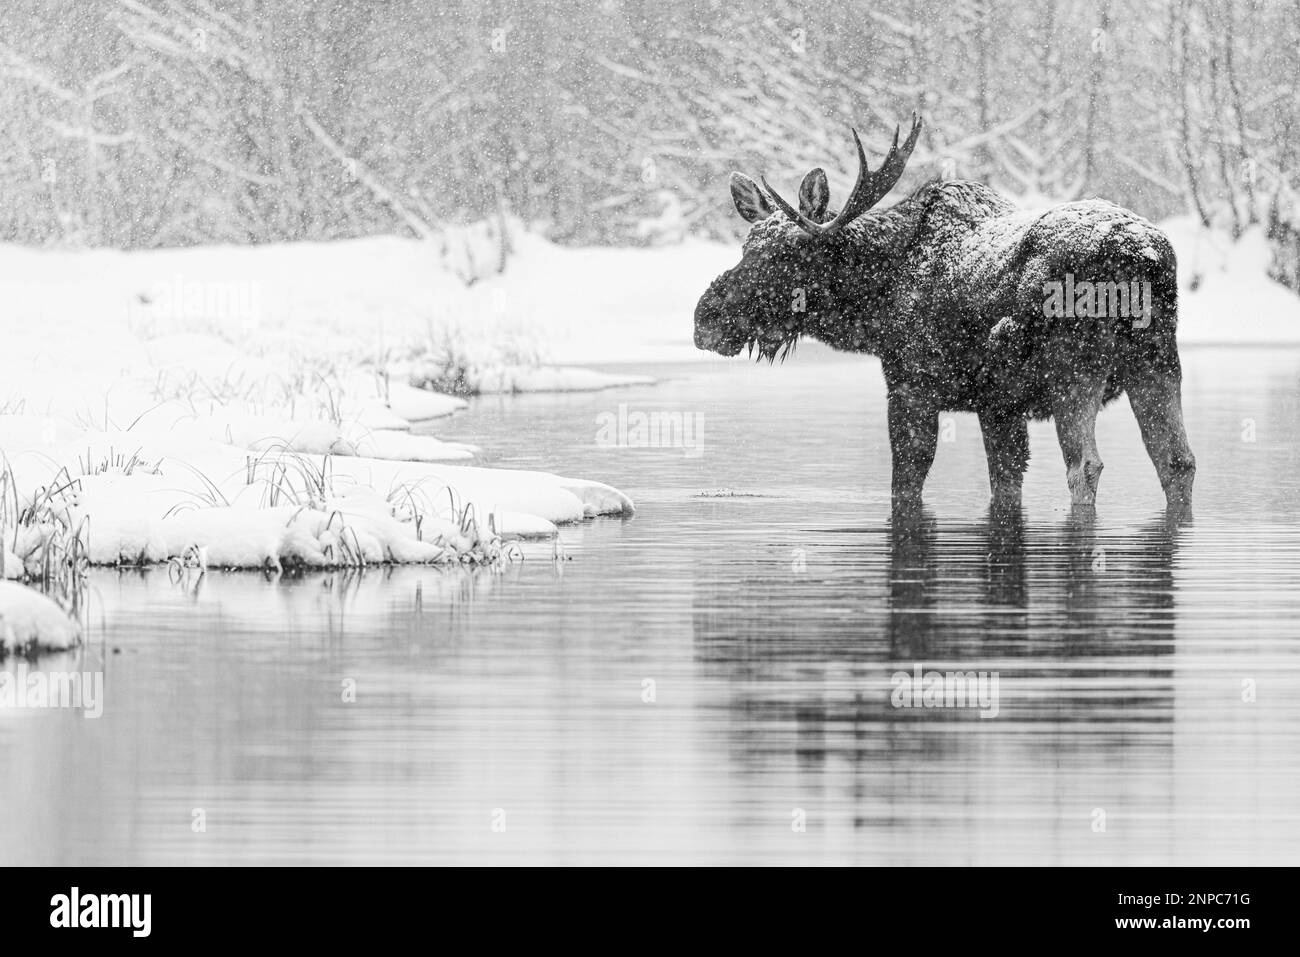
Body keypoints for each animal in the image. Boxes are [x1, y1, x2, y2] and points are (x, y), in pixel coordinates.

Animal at [691, 115, 1196, 512]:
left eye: (786, 254)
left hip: (1075, 369)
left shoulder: (912, 386)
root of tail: (1142, 256)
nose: (705, 319)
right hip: (1157, 361)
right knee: (1178, 461)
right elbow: (1005, 486)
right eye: (746, 245)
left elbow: (906, 484)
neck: (875, 311)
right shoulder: (999, 405)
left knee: (1085, 466)